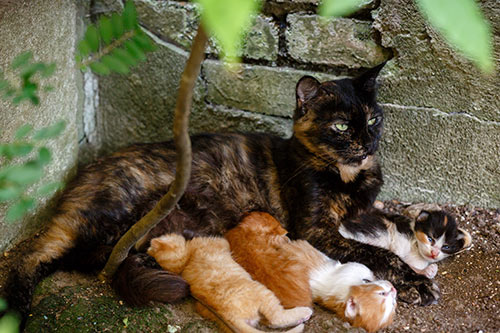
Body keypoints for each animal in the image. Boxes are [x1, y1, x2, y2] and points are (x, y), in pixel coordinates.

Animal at [146, 232, 312, 332]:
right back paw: (305, 313)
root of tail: (229, 317)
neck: (188, 259)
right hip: (263, 292)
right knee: (276, 318)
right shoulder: (220, 242)